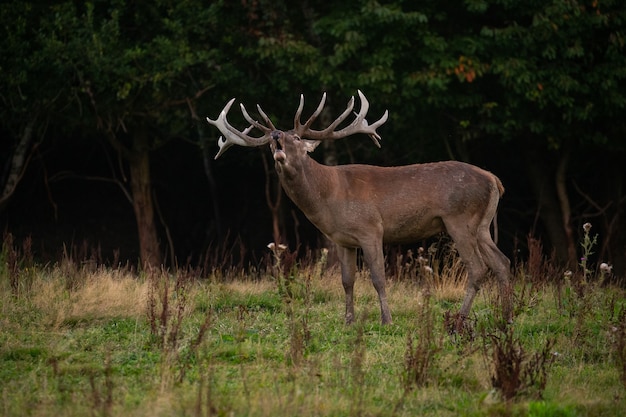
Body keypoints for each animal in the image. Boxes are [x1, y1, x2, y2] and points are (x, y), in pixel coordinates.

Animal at [207, 91, 510, 324]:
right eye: (271, 142)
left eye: (297, 139)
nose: (277, 136)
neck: (329, 198)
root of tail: (494, 179)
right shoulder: (341, 239)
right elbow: (347, 280)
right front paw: (348, 320)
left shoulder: (371, 229)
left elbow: (378, 278)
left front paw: (387, 319)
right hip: (481, 224)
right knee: (501, 262)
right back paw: (506, 317)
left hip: (459, 218)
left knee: (478, 267)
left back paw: (460, 318)